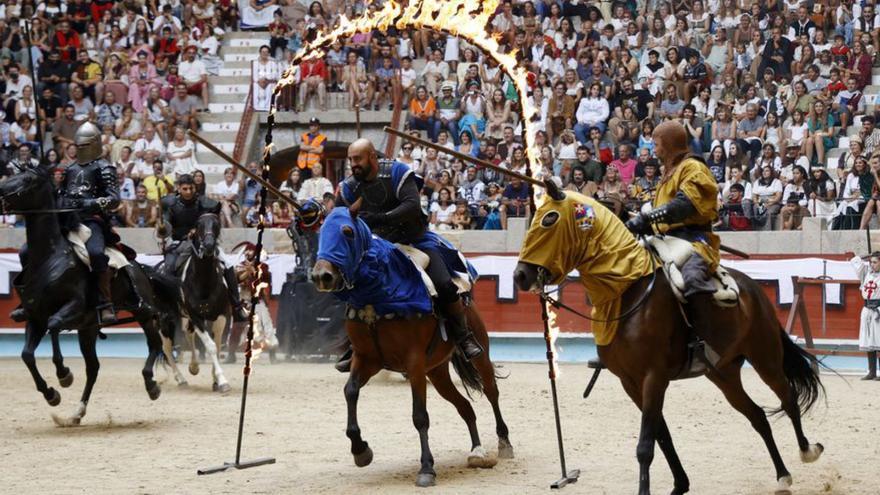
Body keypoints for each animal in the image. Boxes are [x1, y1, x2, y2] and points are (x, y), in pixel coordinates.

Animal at [0, 164, 165, 426]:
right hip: (88, 329)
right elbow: (26, 355)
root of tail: (139, 266)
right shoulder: (35, 318)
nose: (1, 192)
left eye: (27, 179)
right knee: (93, 368)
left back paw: (151, 385)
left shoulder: (72, 307)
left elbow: (54, 324)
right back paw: (77, 412)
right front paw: (51, 394)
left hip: (144, 313)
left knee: (154, 344)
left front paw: (64, 374)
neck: (51, 257)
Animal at [173, 215, 230, 394]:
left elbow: (217, 345)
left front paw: (216, 380)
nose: (209, 245)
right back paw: (181, 377)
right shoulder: (196, 316)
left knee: (188, 334)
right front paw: (222, 381)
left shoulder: (221, 315)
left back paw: (193, 367)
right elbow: (210, 346)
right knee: (166, 346)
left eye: (217, 223)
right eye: (198, 225)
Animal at [312, 206, 512, 488]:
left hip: (477, 355)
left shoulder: (414, 363)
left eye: (348, 231)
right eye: (321, 232)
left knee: (491, 391)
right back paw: (477, 451)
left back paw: (504, 442)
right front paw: (361, 450)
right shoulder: (366, 359)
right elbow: (350, 391)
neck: (380, 295)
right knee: (465, 407)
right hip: (437, 373)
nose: (322, 276)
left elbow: (420, 416)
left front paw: (427, 468)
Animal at [512, 186, 820, 495]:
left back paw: (807, 451)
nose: (520, 275)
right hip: (723, 373)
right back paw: (782, 474)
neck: (628, 288)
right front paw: (680, 485)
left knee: (788, 398)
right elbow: (662, 436)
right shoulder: (631, 383)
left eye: (549, 218)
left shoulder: (654, 377)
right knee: (757, 416)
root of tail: (754, 290)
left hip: (765, 356)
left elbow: (646, 446)